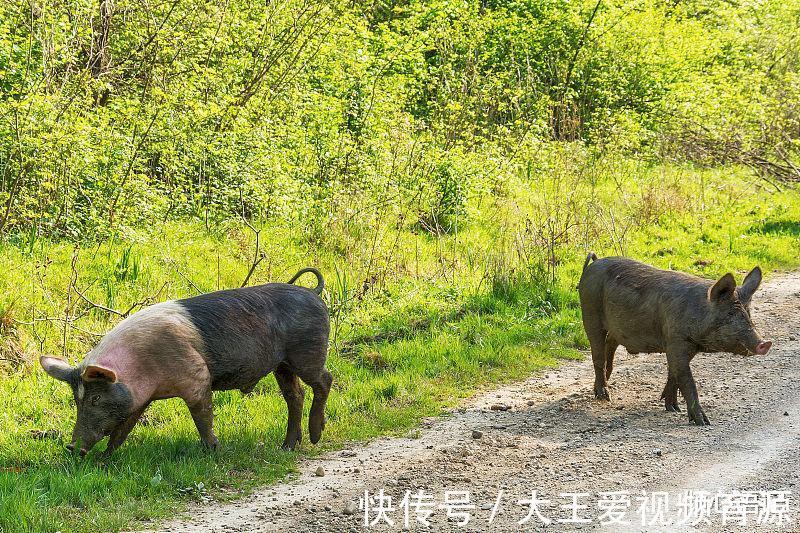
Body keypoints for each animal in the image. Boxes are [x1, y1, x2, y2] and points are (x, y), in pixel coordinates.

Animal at [36, 268, 332, 456]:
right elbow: (122, 430)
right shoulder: (140, 399)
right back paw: (288, 447)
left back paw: (315, 435)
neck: (142, 367)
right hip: (282, 364)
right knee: (295, 395)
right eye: (77, 400)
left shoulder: (197, 376)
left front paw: (213, 451)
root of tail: (313, 293)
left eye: (95, 398)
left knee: (324, 380)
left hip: (307, 352)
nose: (72, 447)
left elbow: (203, 417)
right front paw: (103, 460)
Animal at [580, 254, 772, 424]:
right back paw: (605, 396)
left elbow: (673, 373)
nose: (765, 343)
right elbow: (687, 379)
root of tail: (593, 264)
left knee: (610, 343)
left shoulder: (685, 347)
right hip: (590, 314)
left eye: (748, 313)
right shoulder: (676, 341)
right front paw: (703, 422)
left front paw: (673, 408)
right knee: (597, 355)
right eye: (730, 314)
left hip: (615, 327)